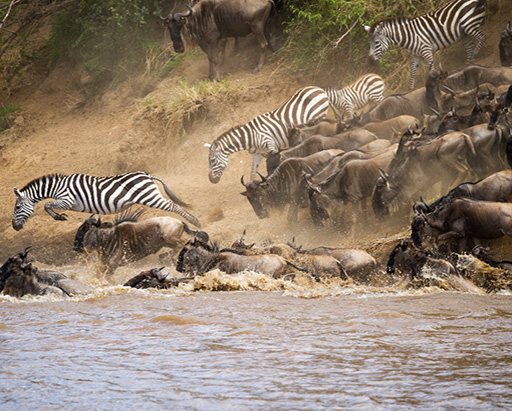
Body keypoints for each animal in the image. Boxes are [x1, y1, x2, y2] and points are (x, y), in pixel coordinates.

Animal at [12, 171, 200, 232]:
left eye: (18, 207)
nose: (14, 227)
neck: (58, 187)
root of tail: (147, 175)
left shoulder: (68, 200)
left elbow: (46, 204)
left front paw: (58, 217)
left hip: (149, 197)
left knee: (173, 206)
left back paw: (195, 221)